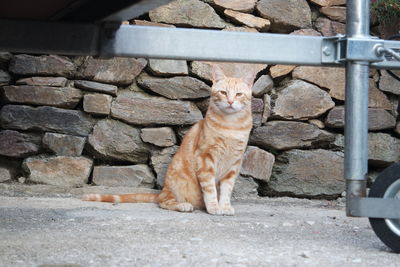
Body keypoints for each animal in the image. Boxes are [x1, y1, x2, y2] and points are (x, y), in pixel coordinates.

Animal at [83, 66, 255, 217]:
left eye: (239, 94)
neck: (231, 126)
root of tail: (162, 191)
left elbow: (226, 189)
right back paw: (183, 205)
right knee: (164, 202)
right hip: (176, 183)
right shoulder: (206, 159)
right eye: (223, 92)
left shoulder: (233, 164)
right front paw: (214, 207)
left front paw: (224, 207)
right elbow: (210, 189)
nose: (231, 102)